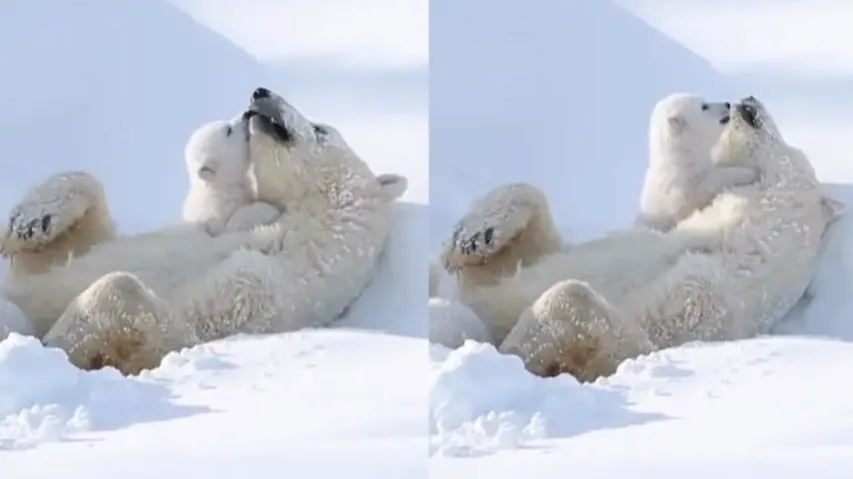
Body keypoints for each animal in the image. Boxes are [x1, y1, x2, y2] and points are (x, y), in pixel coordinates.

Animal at [0, 86, 408, 375]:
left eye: (321, 129)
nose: (261, 92)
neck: (301, 236)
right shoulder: (203, 232)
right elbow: (79, 241)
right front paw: (30, 221)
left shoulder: (258, 295)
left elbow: (156, 319)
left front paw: (55, 342)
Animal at [636, 93, 760, 233]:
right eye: (704, 107)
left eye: (704, 101)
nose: (727, 104)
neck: (682, 158)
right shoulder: (681, 192)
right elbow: (705, 186)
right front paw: (748, 172)